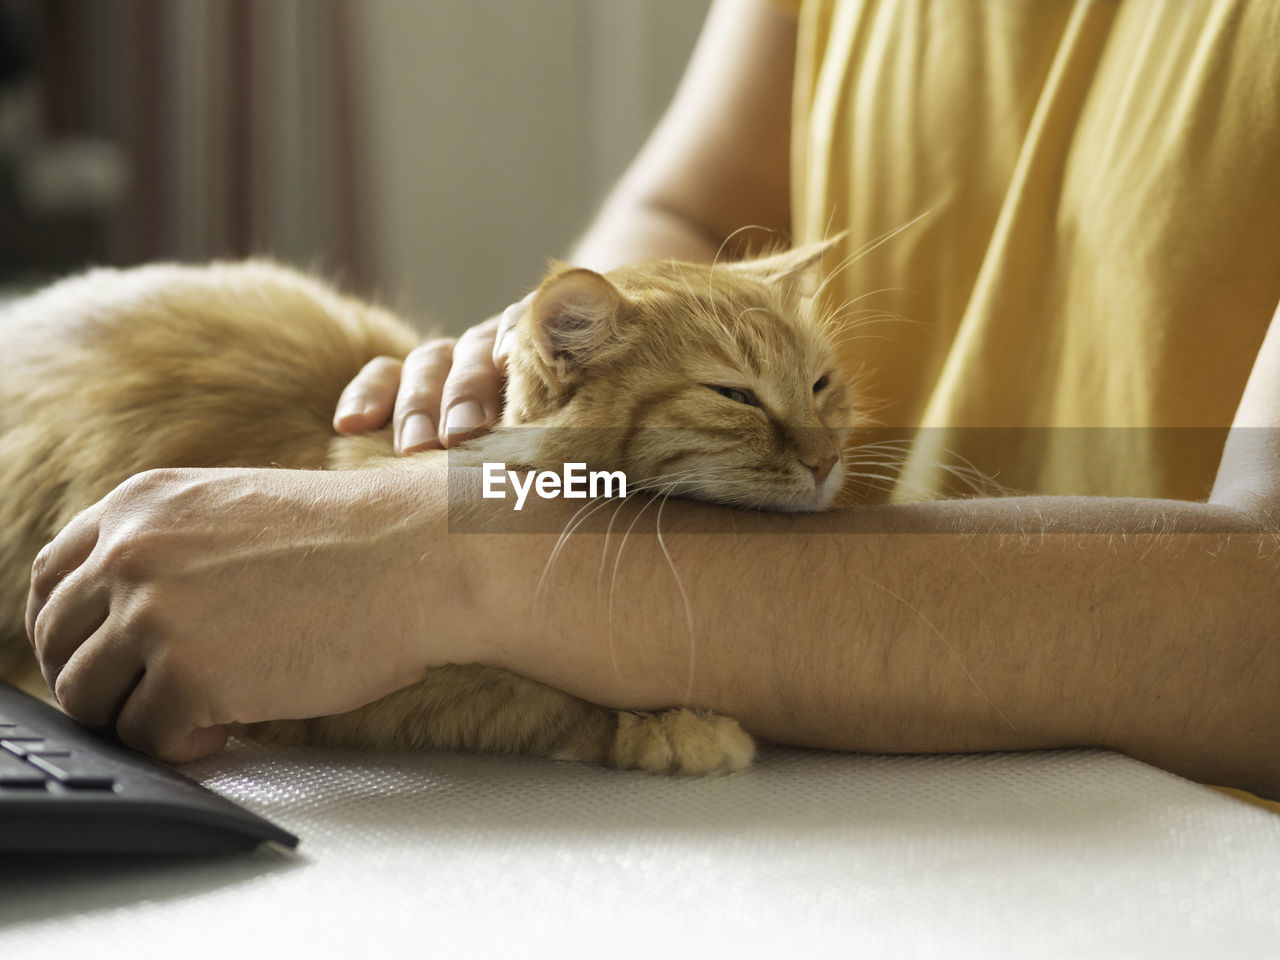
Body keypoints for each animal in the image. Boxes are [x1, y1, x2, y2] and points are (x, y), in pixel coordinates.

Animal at [2, 244, 860, 778]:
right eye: (734, 395)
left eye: (821, 386)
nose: (826, 460)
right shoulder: (369, 696)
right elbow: (546, 701)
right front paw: (673, 728)